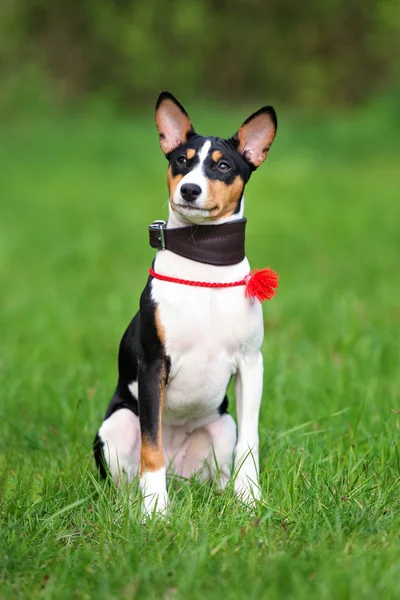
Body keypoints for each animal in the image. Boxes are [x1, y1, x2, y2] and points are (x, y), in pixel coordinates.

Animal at [94, 91, 276, 516]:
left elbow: (251, 441)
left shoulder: (251, 363)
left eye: (223, 165)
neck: (203, 262)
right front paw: (155, 511)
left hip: (221, 427)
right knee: (134, 471)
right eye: (181, 160)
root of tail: (181, 474)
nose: (190, 190)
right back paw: (137, 503)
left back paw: (226, 494)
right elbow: (151, 446)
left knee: (222, 466)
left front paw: (250, 499)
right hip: (116, 426)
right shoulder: (153, 364)